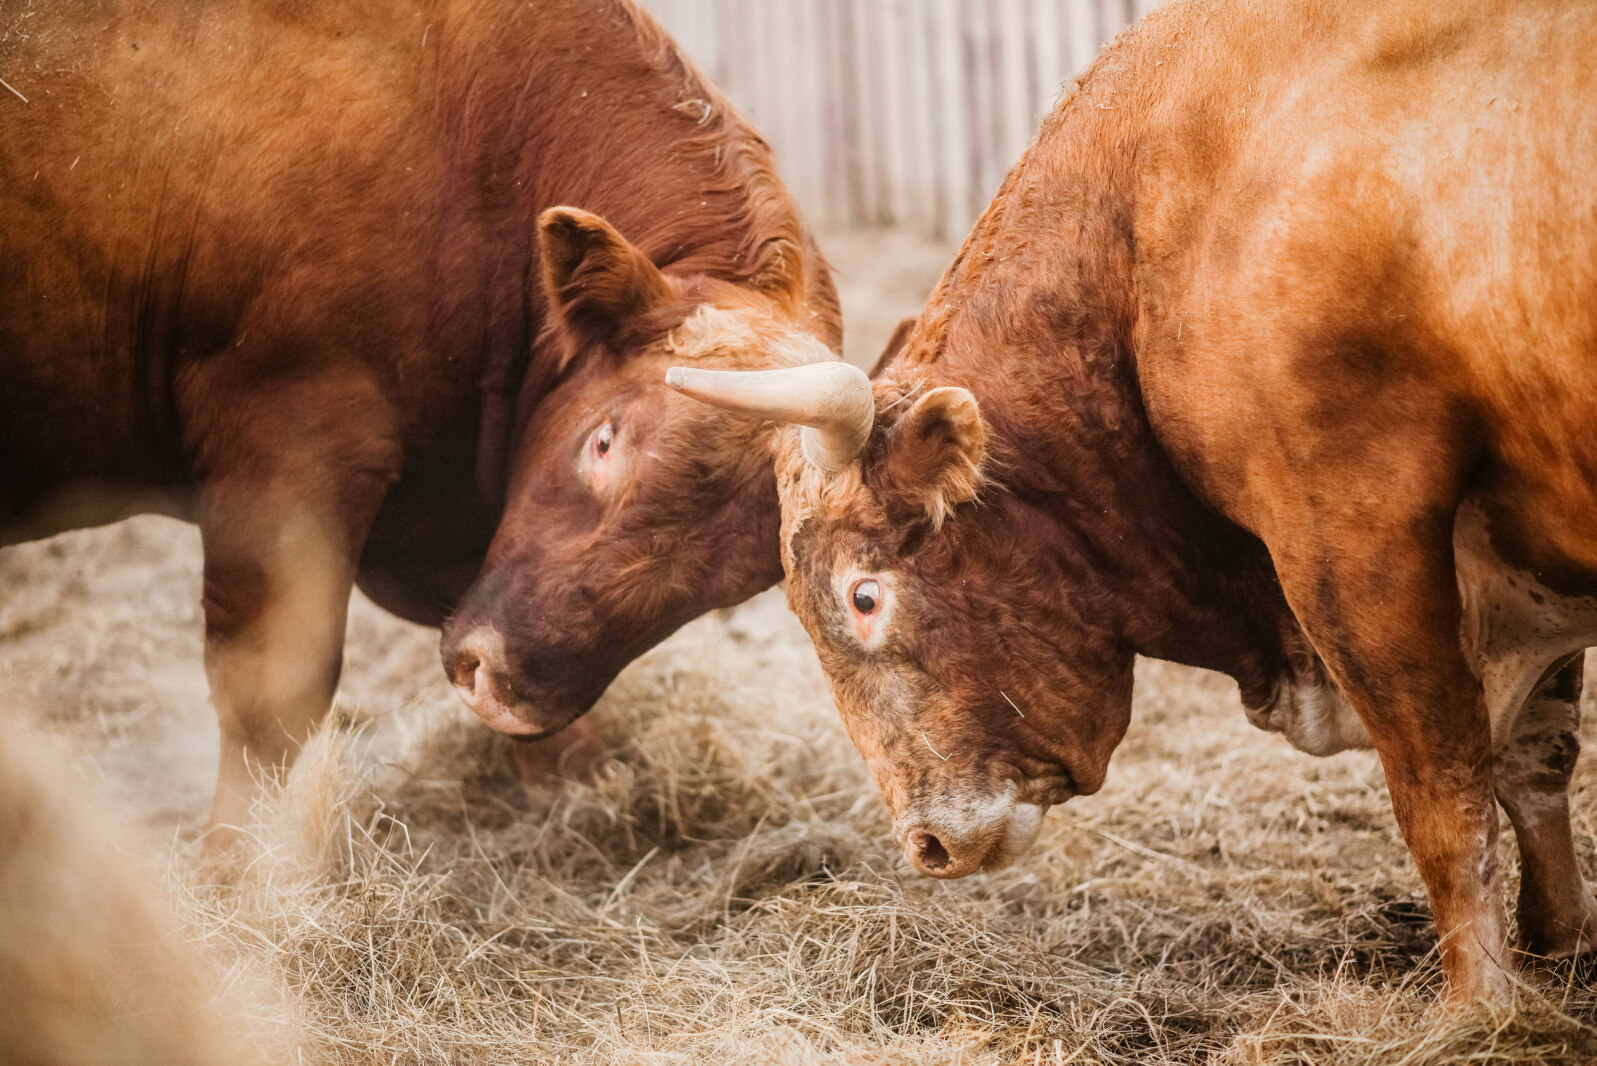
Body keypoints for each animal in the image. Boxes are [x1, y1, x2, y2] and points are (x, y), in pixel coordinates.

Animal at [0, 0, 839, 844]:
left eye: (735, 584)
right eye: (603, 441)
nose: (507, 688)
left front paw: (574, 782)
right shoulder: (284, 454)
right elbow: (269, 698)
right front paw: (237, 865)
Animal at [668, 0, 1597, 1001]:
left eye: (863, 596)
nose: (927, 846)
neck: (1150, 226)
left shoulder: (1354, 542)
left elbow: (1445, 803)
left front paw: (1481, 1006)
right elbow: (1534, 761)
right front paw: (1558, 946)